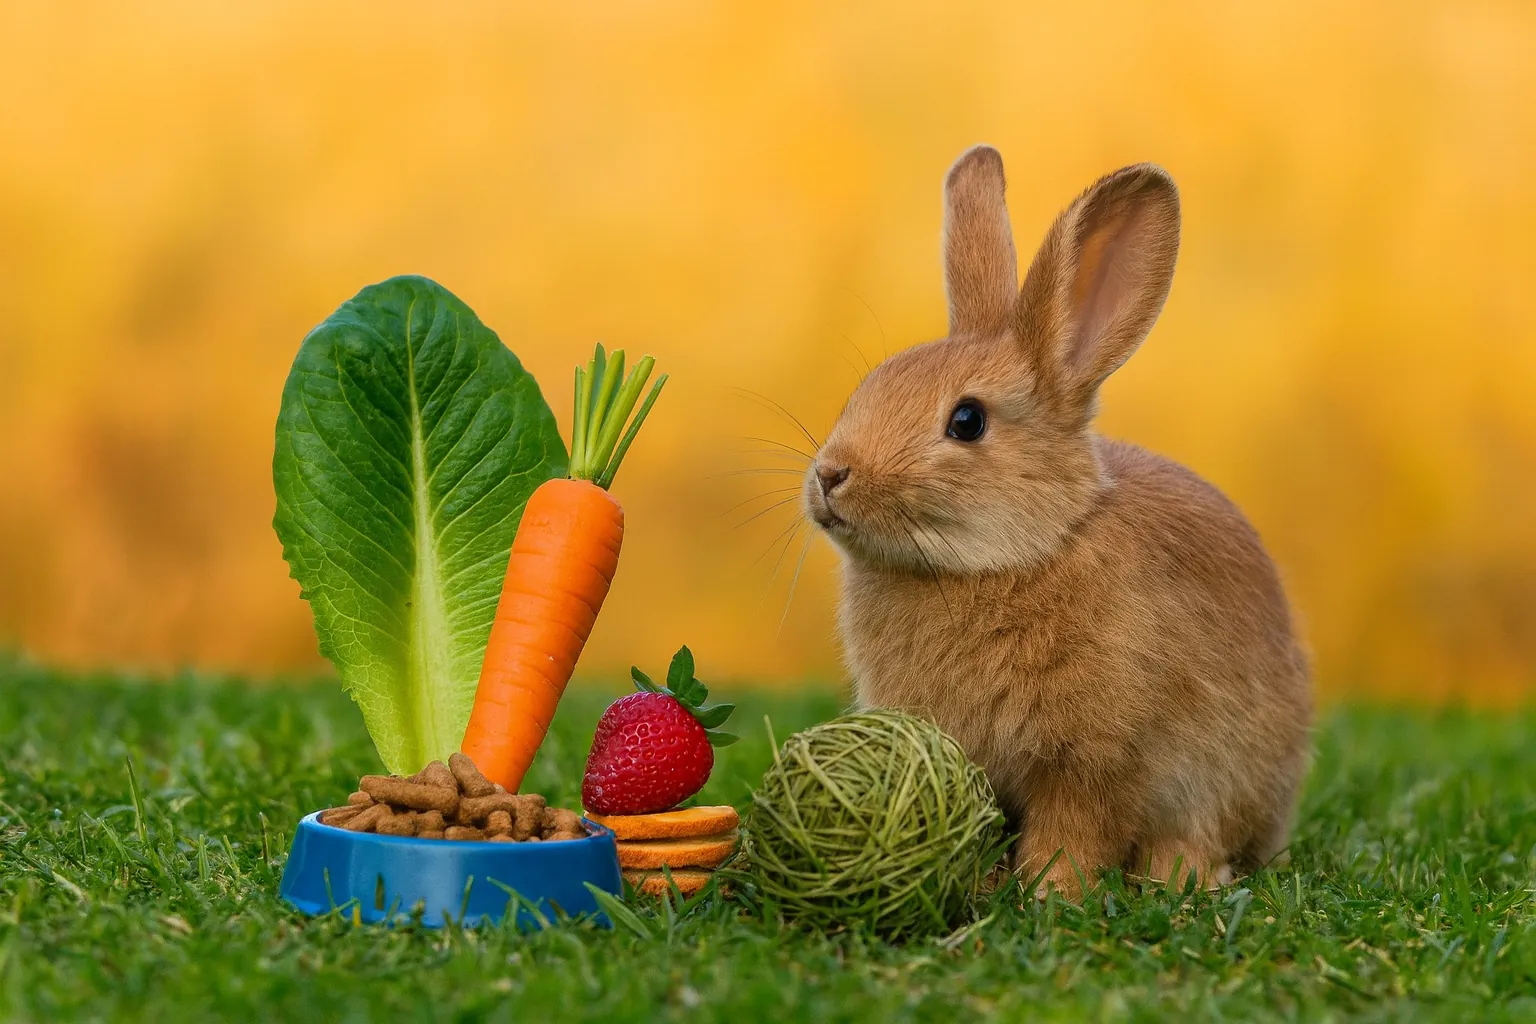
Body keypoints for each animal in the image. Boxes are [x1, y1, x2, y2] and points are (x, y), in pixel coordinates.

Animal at [802, 146, 1312, 897]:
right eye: (869, 388)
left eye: (967, 420)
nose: (831, 475)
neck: (1016, 553)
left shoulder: (1098, 757)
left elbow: (1077, 828)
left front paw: (1050, 892)